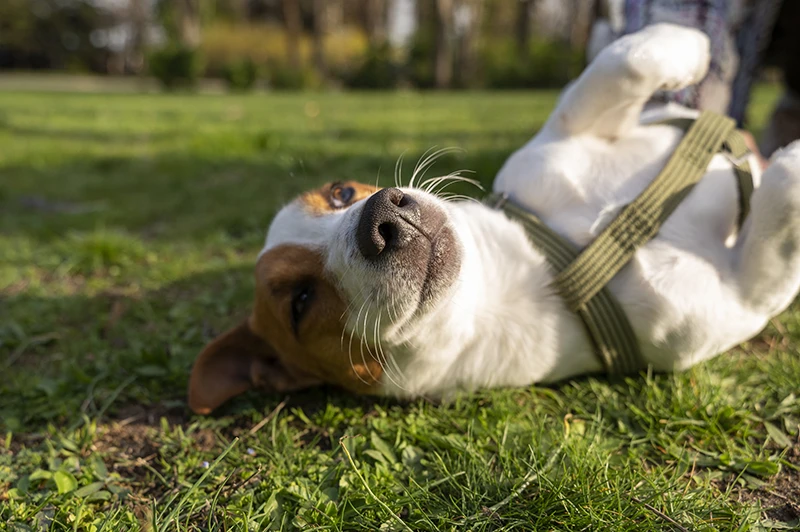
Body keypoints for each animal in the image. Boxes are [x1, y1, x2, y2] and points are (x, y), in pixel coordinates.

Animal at [188, 23, 800, 416]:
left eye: (340, 193)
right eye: (300, 302)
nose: (383, 219)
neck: (524, 277)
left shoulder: (563, 136)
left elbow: (621, 63)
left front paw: (689, 48)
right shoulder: (737, 304)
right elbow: (777, 223)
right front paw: (789, 165)